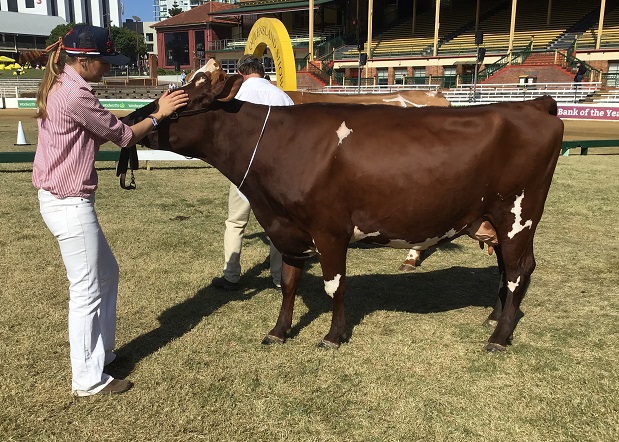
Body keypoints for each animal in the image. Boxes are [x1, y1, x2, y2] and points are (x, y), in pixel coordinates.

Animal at [123, 69, 564, 352]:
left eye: (183, 103)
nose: (130, 120)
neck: (278, 143)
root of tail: (534, 105)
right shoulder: (287, 229)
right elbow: (289, 284)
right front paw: (279, 331)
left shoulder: (329, 229)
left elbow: (334, 286)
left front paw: (333, 336)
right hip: (497, 220)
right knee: (507, 269)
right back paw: (494, 317)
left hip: (519, 215)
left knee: (519, 271)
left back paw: (499, 338)